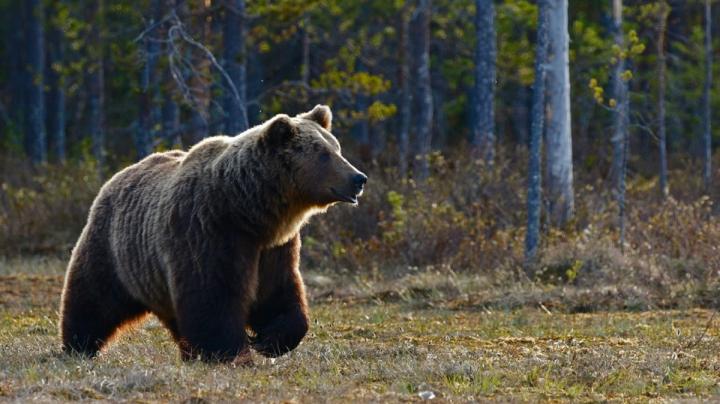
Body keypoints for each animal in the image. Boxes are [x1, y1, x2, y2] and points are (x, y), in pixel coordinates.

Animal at [59, 105, 367, 363]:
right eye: (323, 154)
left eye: (337, 148)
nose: (358, 178)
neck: (249, 211)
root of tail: (116, 176)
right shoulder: (209, 231)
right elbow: (213, 295)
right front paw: (230, 352)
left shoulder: (274, 248)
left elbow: (278, 292)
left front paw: (269, 340)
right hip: (114, 249)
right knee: (93, 297)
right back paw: (78, 345)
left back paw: (187, 352)